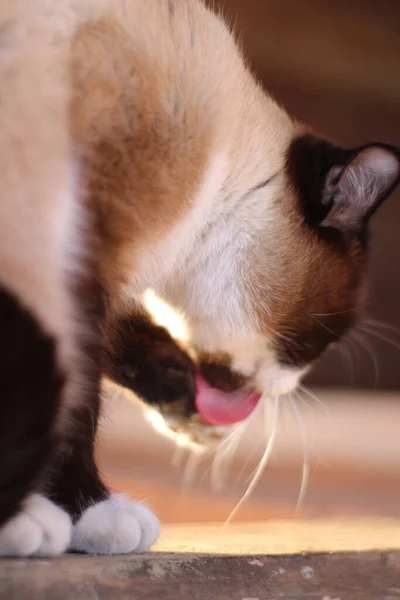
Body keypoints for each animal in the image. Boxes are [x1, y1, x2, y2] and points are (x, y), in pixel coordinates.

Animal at [0, 0, 398, 556]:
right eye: (315, 339)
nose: (288, 386)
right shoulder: (73, 257)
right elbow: (76, 397)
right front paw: (79, 513)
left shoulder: (102, 278)